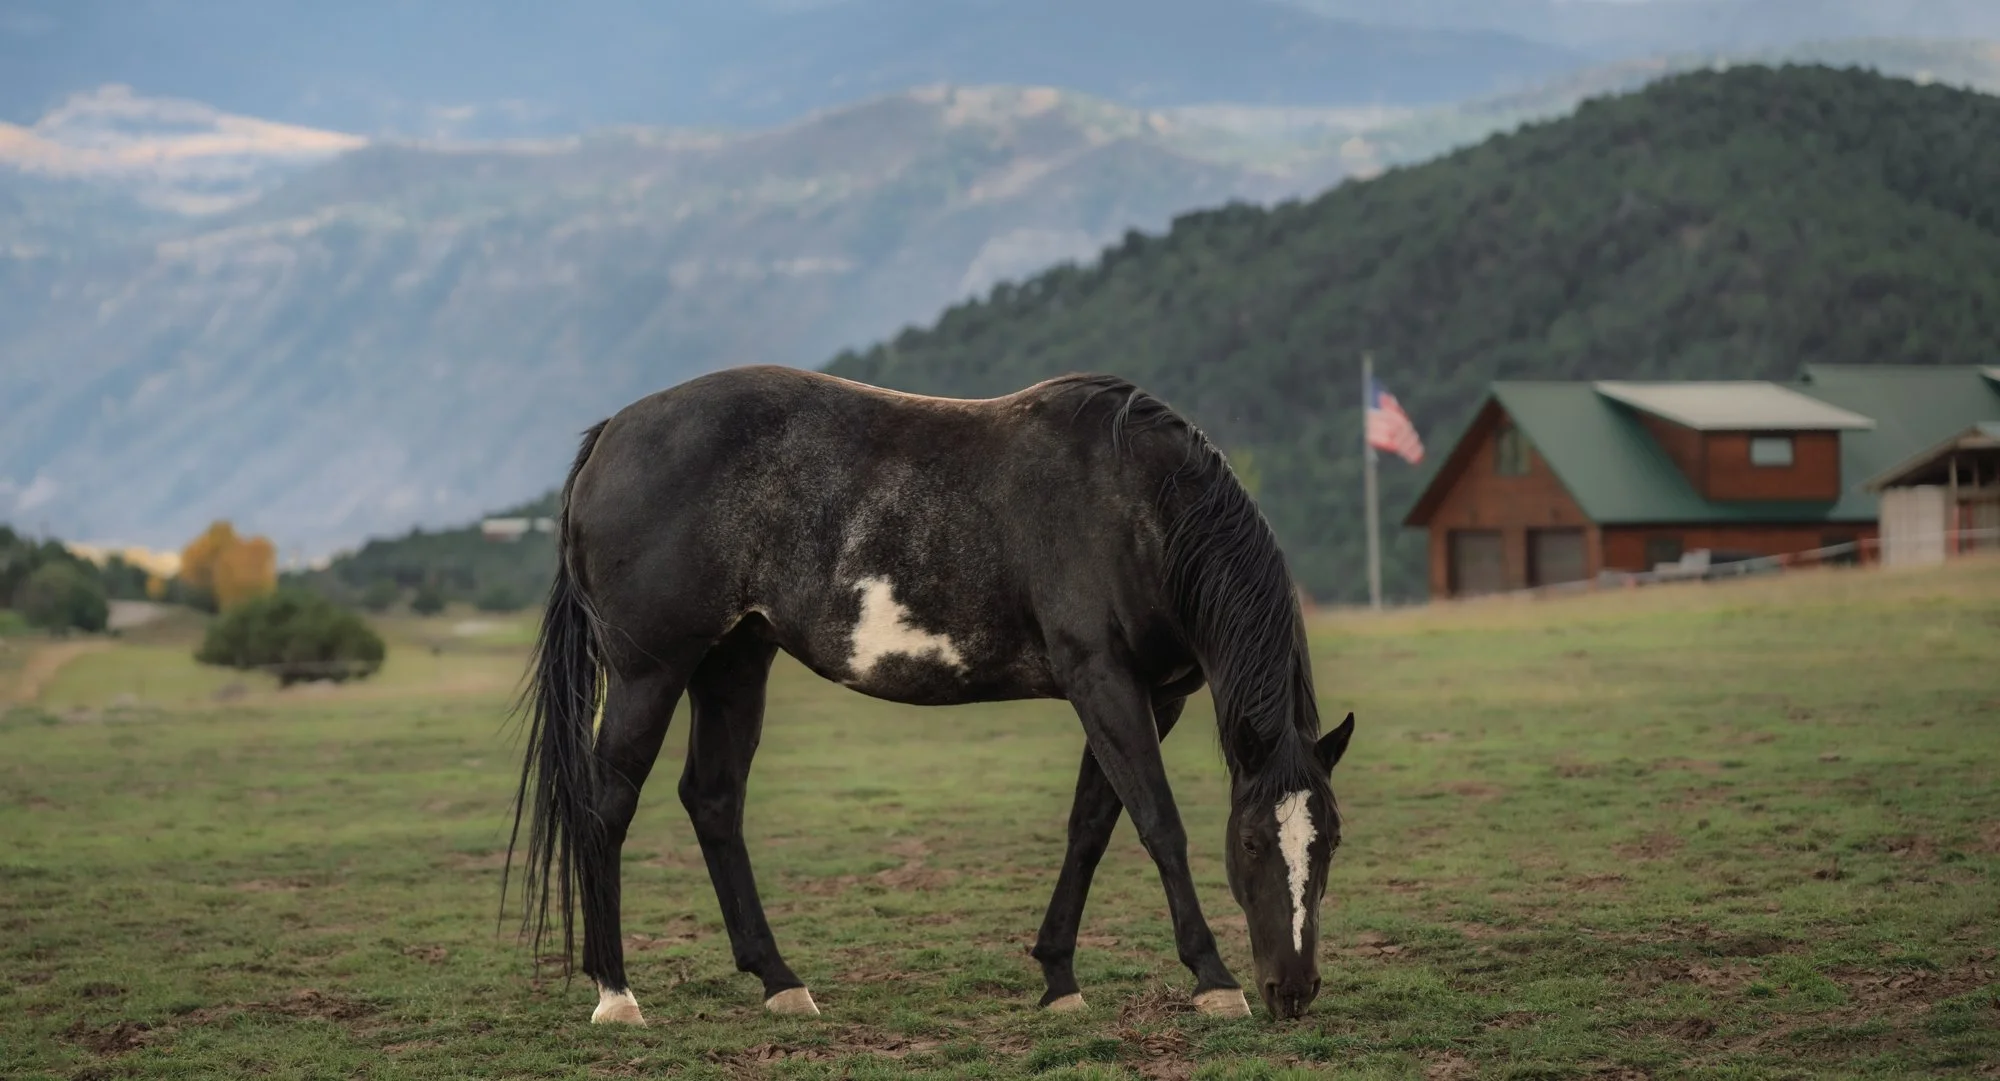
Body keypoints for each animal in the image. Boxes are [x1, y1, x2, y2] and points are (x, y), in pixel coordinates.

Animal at [505, 365, 1355, 1025]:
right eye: (1253, 842)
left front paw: (1058, 977)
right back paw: (617, 992)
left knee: (713, 800)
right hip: (650, 673)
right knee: (607, 805)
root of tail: (614, 432)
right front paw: (1213, 978)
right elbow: (1158, 823)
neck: (1134, 505)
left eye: (1331, 842)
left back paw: (781, 981)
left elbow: (1091, 825)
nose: (1293, 989)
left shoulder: (1154, 695)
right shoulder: (1103, 680)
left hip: (734, 660)